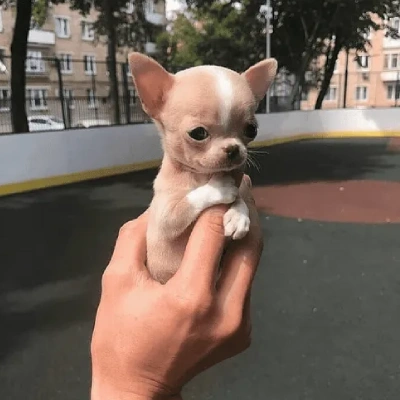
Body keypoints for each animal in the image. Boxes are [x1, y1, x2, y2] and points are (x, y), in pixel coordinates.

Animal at [130, 53, 276, 284]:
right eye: (198, 133)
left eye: (251, 130)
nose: (234, 149)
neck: (202, 176)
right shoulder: (164, 218)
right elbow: (189, 201)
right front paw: (220, 187)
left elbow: (240, 198)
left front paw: (238, 216)